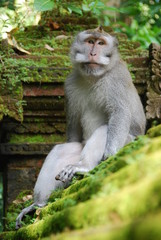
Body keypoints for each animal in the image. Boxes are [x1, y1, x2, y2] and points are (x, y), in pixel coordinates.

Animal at [15, 26, 147, 229]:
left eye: (101, 43)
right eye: (90, 41)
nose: (93, 53)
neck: (94, 77)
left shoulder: (117, 77)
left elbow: (120, 113)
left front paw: (109, 157)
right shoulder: (69, 84)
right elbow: (74, 129)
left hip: (129, 140)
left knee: (105, 129)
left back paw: (85, 166)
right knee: (63, 149)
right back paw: (39, 204)